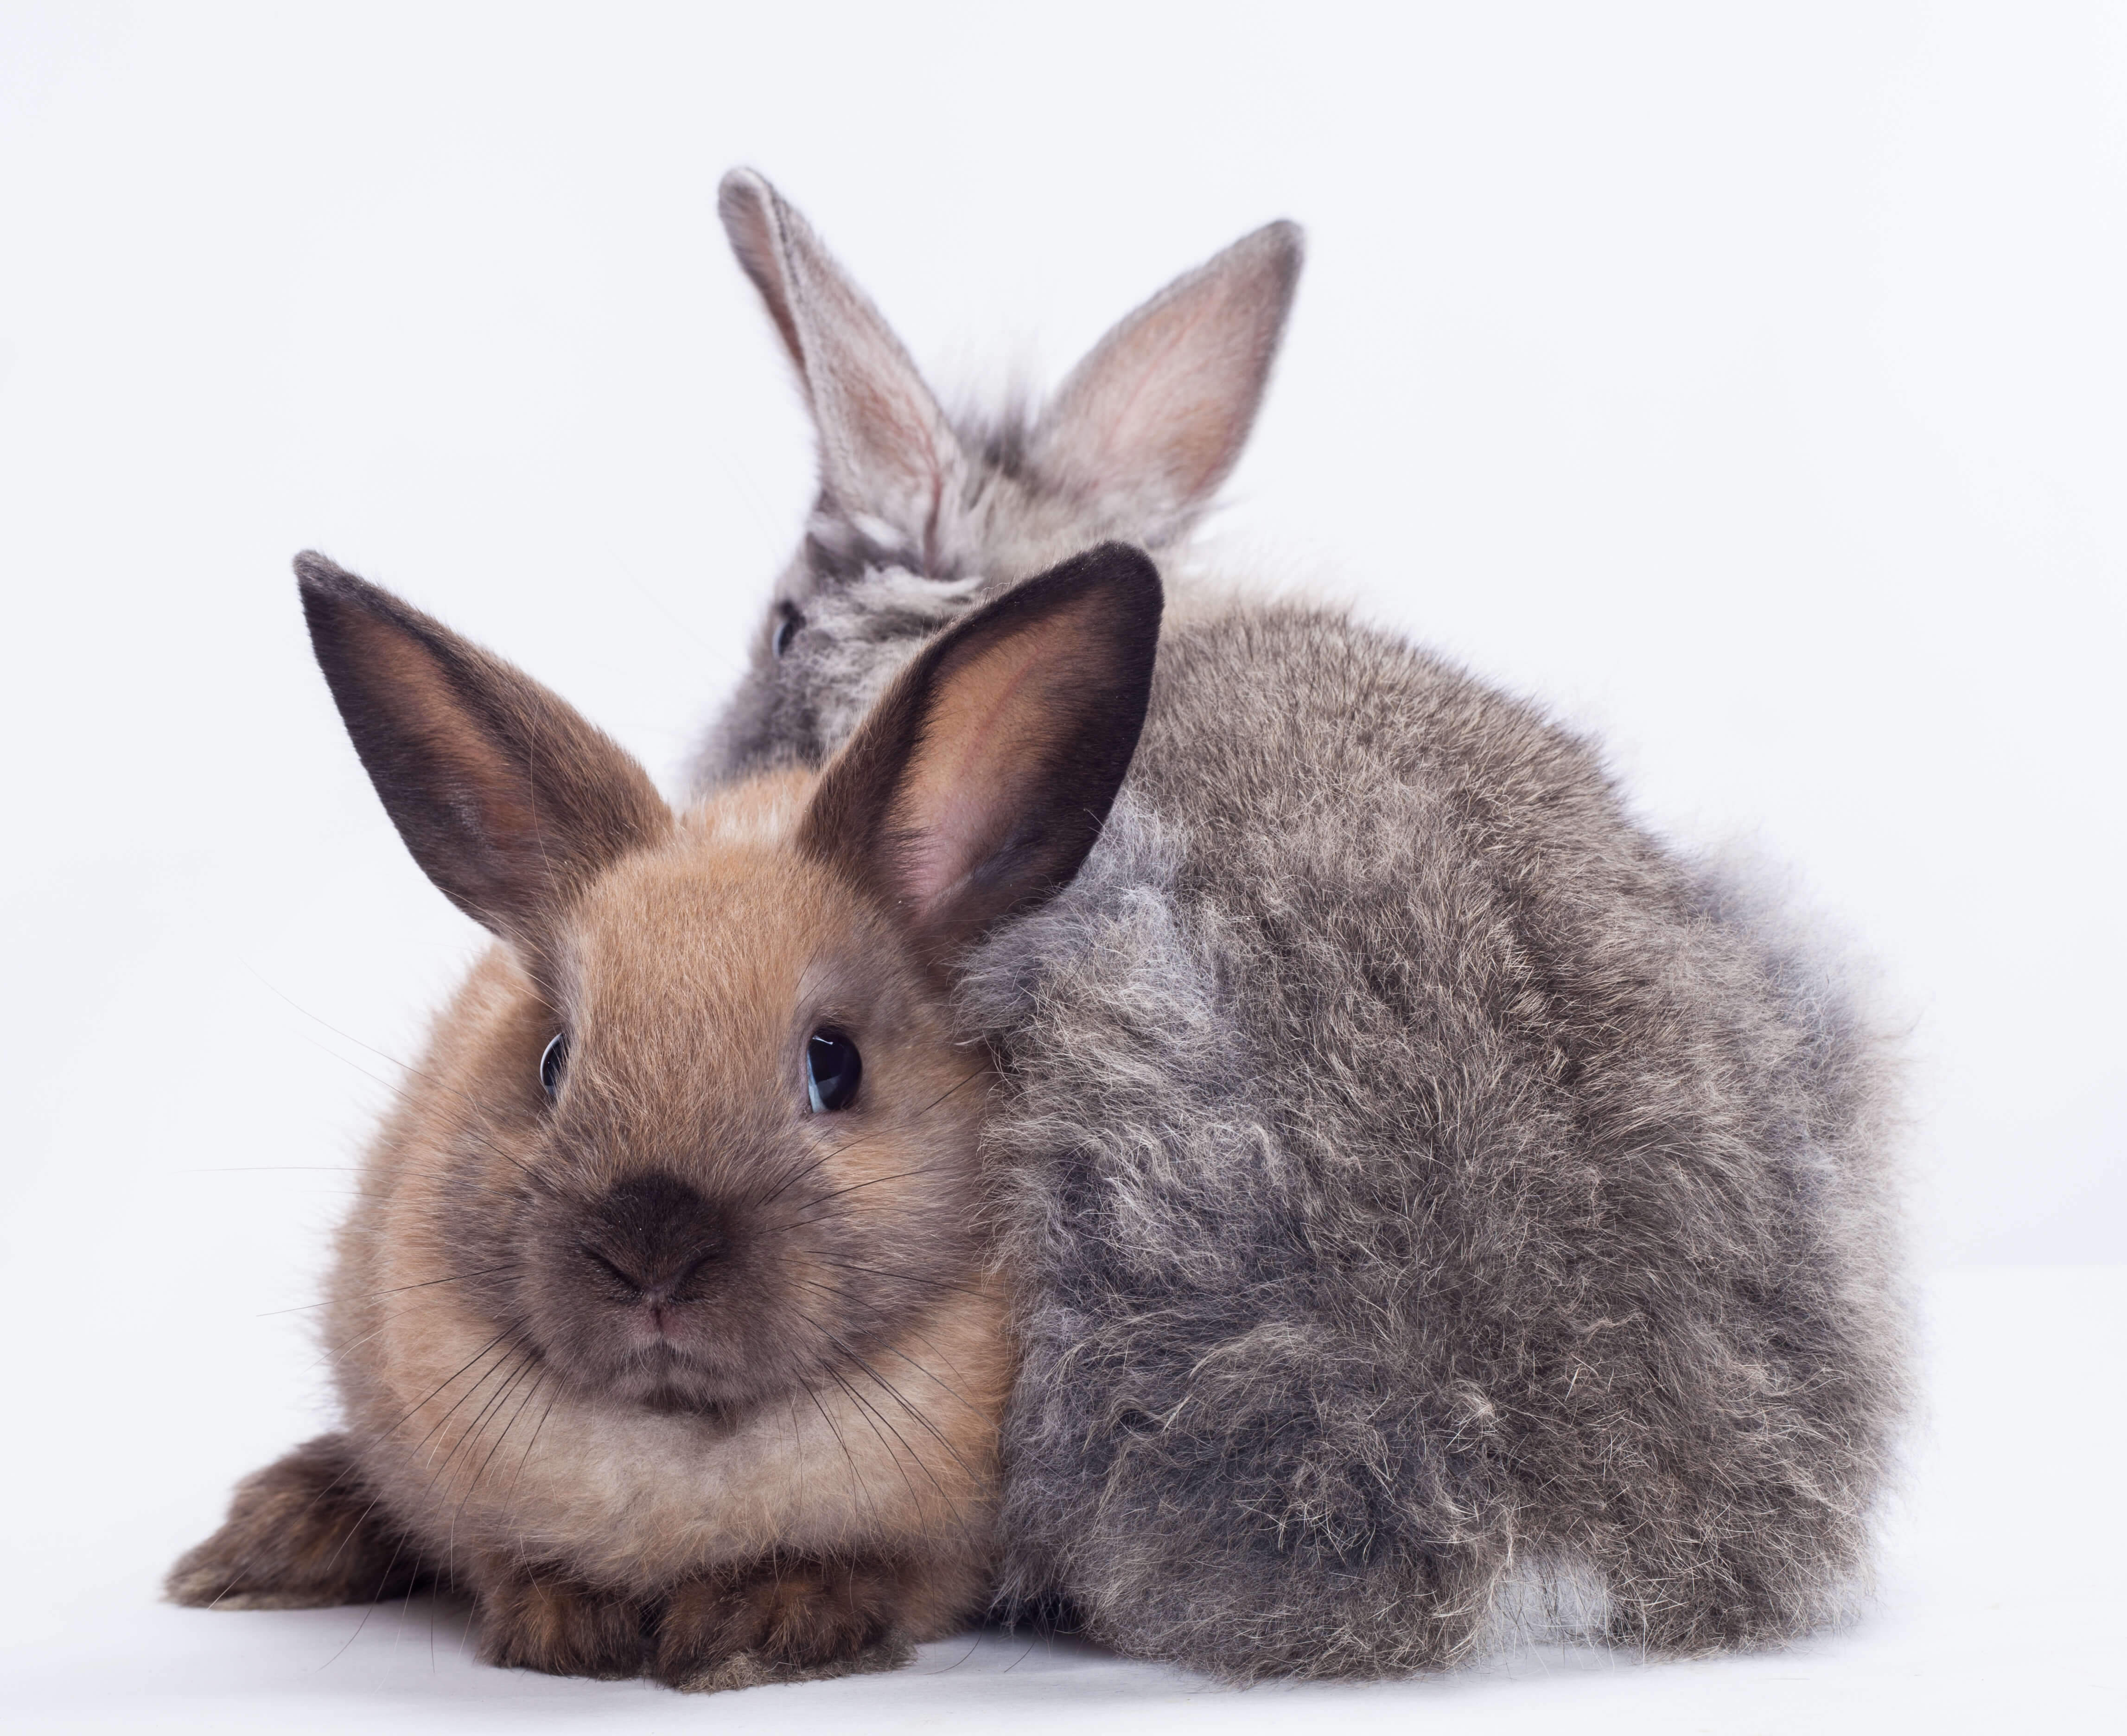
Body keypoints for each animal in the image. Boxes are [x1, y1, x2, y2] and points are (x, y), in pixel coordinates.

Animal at [166, 540, 1166, 1690]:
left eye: (834, 1065)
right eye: (553, 1061)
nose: (650, 1252)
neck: (681, 1440)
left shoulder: (945, 1554)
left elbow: (874, 1575)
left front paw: (756, 1627)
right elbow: (511, 1563)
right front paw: (568, 1627)